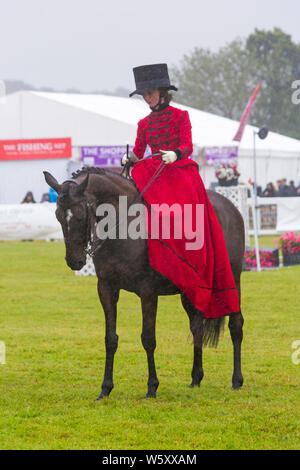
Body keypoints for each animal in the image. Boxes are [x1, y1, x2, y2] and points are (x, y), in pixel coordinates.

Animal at [43, 167, 245, 398]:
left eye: (80, 214)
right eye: (58, 216)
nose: (74, 261)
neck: (124, 226)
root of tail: (231, 207)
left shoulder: (148, 291)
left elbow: (148, 338)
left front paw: (152, 387)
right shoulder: (107, 288)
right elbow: (110, 339)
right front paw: (105, 388)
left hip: (232, 281)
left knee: (235, 325)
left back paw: (236, 380)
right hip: (190, 292)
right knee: (197, 327)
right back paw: (196, 378)